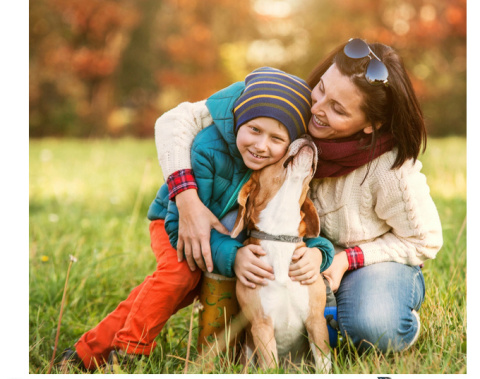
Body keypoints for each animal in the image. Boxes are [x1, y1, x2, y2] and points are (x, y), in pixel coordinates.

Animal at [231, 135, 332, 372]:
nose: (308, 136)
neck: (279, 236)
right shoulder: (261, 325)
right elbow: (270, 365)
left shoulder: (316, 320)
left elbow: (324, 363)